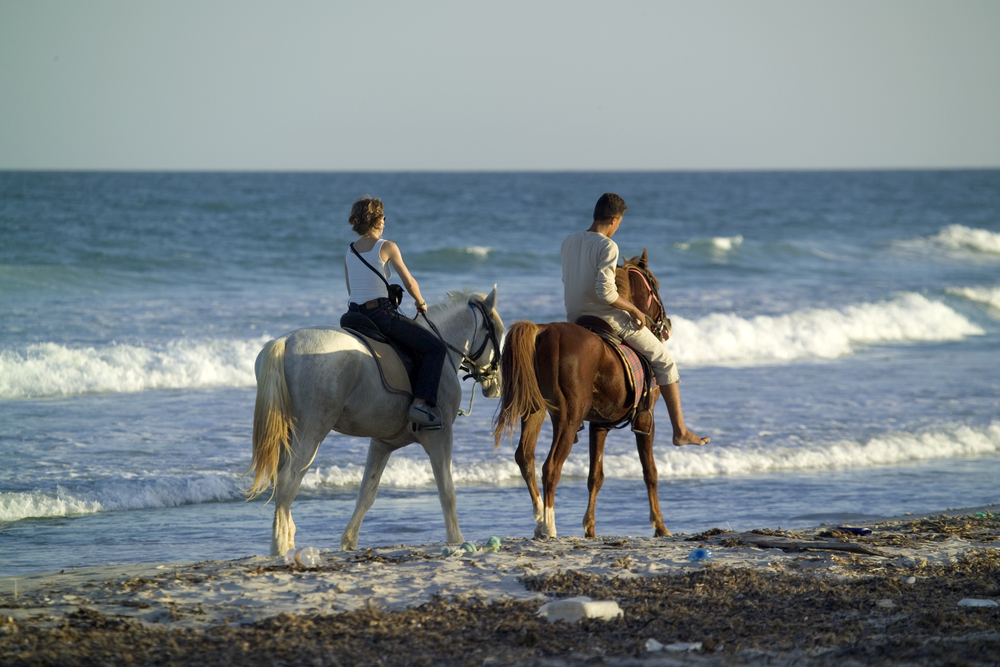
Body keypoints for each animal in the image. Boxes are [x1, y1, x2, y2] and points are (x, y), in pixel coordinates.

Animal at [247, 290, 504, 556]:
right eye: (498, 332)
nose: (495, 384)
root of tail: (285, 341)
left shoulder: (382, 443)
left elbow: (367, 493)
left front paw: (349, 541)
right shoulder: (440, 437)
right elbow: (447, 491)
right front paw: (456, 539)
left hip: (290, 433)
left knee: (281, 481)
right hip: (312, 431)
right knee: (288, 480)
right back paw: (281, 546)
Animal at [492, 253, 672, 540]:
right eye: (655, 284)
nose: (666, 326)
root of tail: (543, 331)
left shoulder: (599, 424)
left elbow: (595, 476)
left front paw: (590, 527)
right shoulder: (646, 420)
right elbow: (650, 472)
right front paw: (659, 525)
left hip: (536, 411)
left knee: (525, 457)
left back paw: (539, 517)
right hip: (569, 417)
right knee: (551, 467)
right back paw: (549, 525)